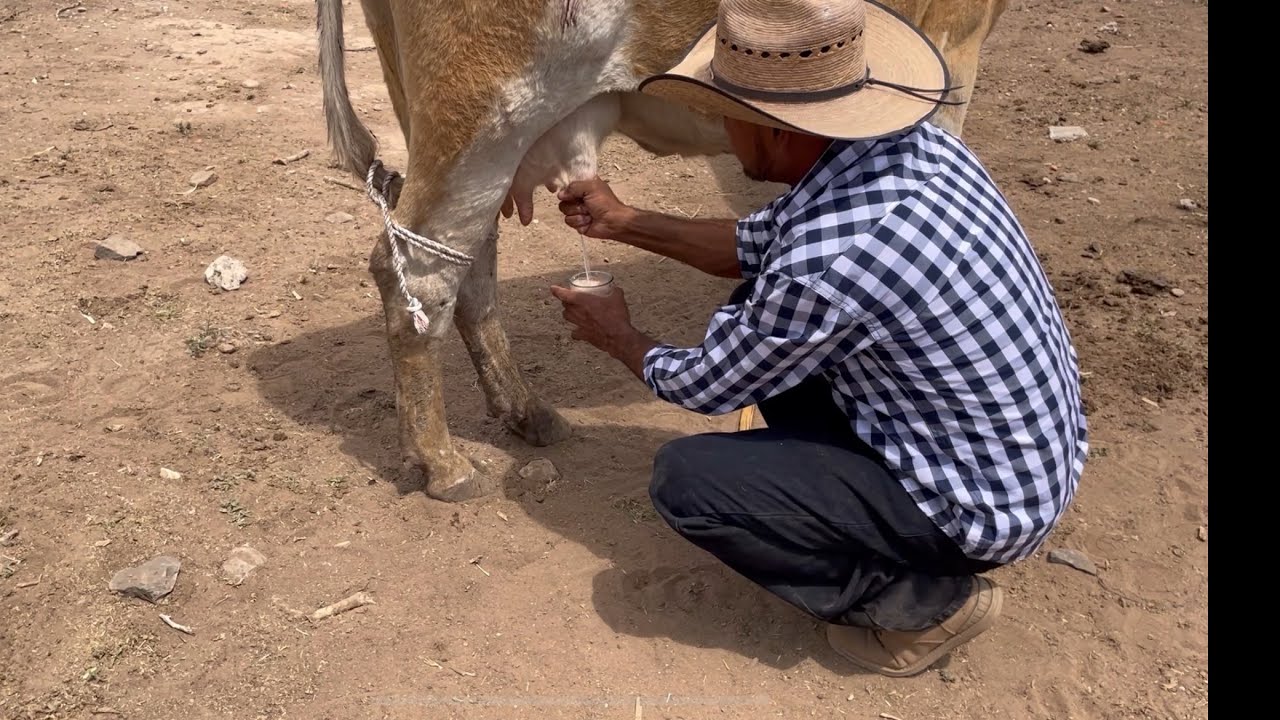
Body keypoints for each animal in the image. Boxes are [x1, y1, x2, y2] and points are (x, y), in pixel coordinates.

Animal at [314, 0, 1009, 502]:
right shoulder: (949, 44)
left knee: (469, 264)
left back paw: (525, 412)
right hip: (485, 109)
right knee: (419, 273)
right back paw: (444, 464)